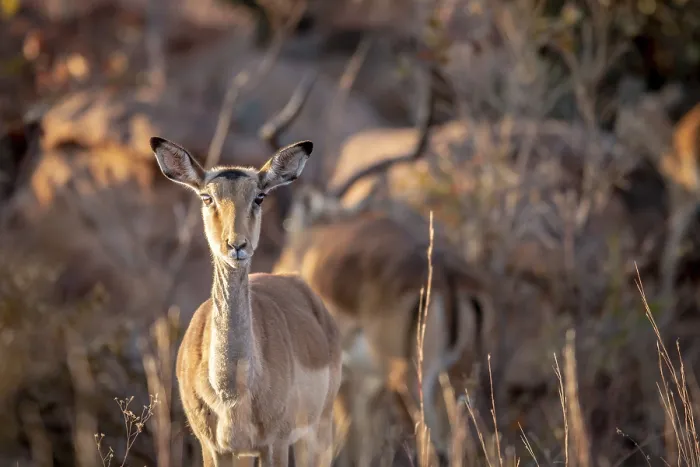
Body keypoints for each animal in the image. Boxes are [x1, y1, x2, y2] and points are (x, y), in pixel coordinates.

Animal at [150, 134, 342, 466]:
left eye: (259, 197)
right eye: (207, 197)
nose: (236, 245)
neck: (232, 389)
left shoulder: (275, 445)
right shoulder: (215, 449)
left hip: (318, 432)